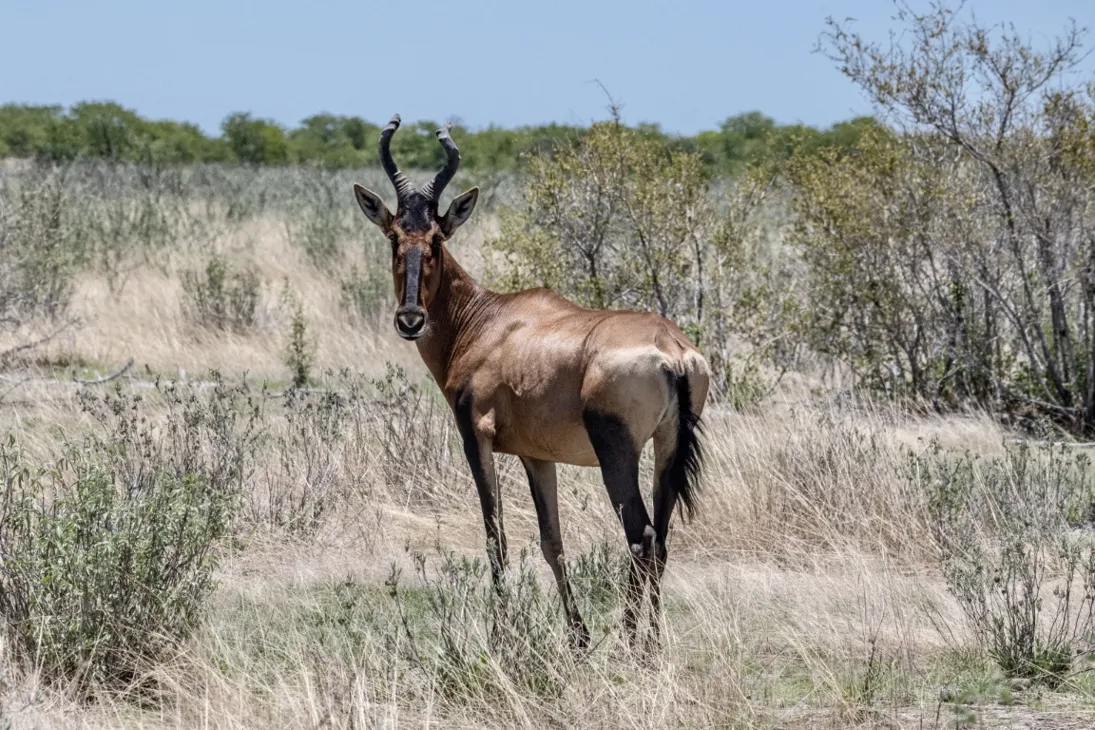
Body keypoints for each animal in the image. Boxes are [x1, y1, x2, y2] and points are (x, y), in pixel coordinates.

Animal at [350, 114, 709, 652]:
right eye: (395, 236)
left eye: (437, 239)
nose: (410, 319)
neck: (491, 320)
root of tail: (672, 350)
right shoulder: (537, 455)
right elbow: (551, 540)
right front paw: (578, 638)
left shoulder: (475, 438)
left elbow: (494, 534)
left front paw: (501, 636)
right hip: (667, 447)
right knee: (663, 537)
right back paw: (650, 646)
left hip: (617, 451)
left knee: (641, 535)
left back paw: (629, 644)